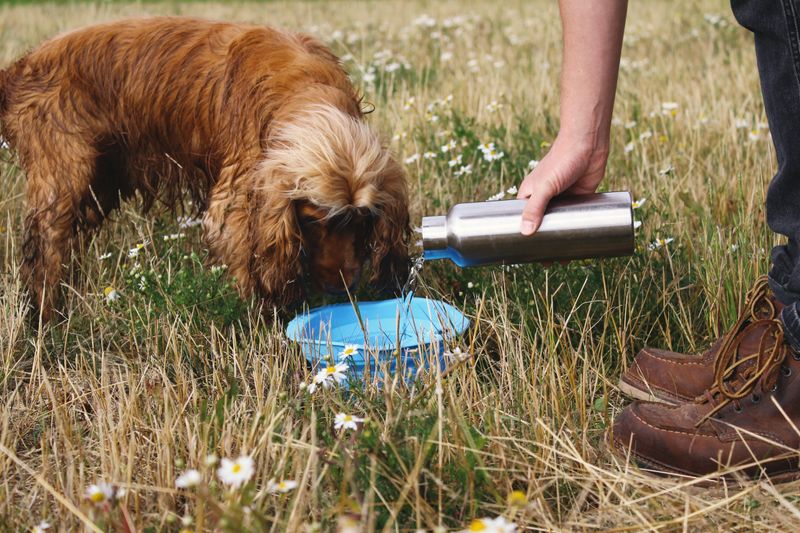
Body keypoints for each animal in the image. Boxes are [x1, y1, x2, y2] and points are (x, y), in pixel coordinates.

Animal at [0, 16, 410, 320]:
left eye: (363, 221)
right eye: (311, 220)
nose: (344, 287)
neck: (305, 87)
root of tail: (20, 67)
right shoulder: (240, 193)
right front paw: (264, 314)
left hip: (101, 177)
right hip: (64, 177)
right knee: (44, 250)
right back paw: (47, 318)